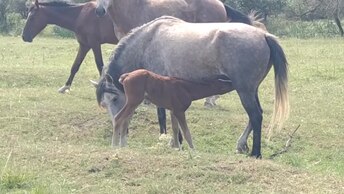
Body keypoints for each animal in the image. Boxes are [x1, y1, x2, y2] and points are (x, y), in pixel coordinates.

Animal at [93, 16, 288, 158]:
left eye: (115, 98)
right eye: (104, 104)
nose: (116, 127)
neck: (148, 41)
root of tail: (264, 36)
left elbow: (163, 116)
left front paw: (171, 141)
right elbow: (174, 120)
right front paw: (176, 142)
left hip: (244, 91)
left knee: (255, 116)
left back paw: (256, 153)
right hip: (250, 90)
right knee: (256, 115)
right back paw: (241, 145)